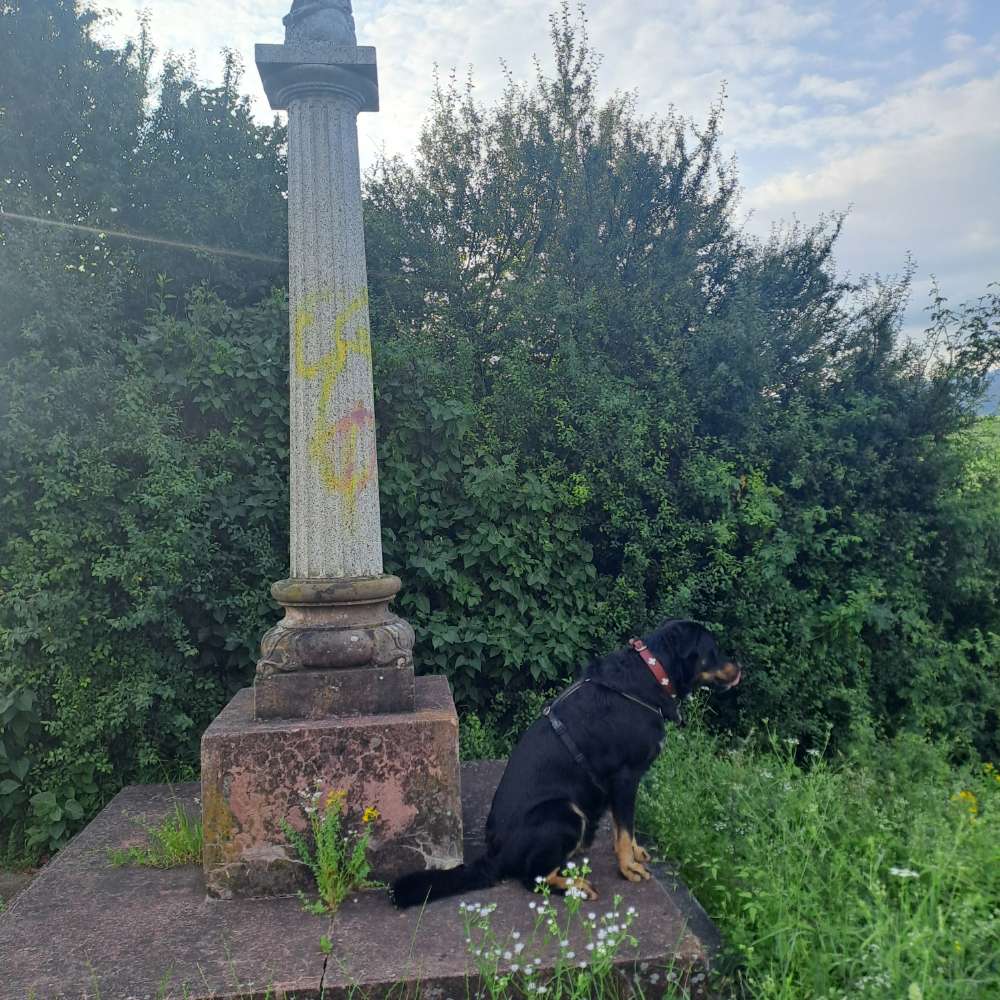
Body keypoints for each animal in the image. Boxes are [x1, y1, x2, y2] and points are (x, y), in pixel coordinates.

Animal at [392, 616, 744, 908]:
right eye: (713, 649)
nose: (739, 669)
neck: (651, 676)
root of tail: (495, 856)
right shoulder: (625, 777)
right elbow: (624, 830)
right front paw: (629, 867)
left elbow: (626, 828)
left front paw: (636, 854)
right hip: (564, 811)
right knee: (532, 878)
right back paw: (577, 887)